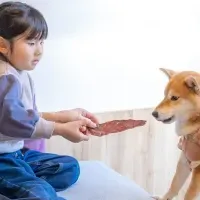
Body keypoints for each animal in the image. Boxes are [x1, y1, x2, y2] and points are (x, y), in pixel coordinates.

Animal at [152, 68, 200, 199]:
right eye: (164, 95)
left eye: (174, 98)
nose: (154, 113)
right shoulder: (185, 159)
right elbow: (174, 186)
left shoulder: (198, 168)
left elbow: (189, 195)